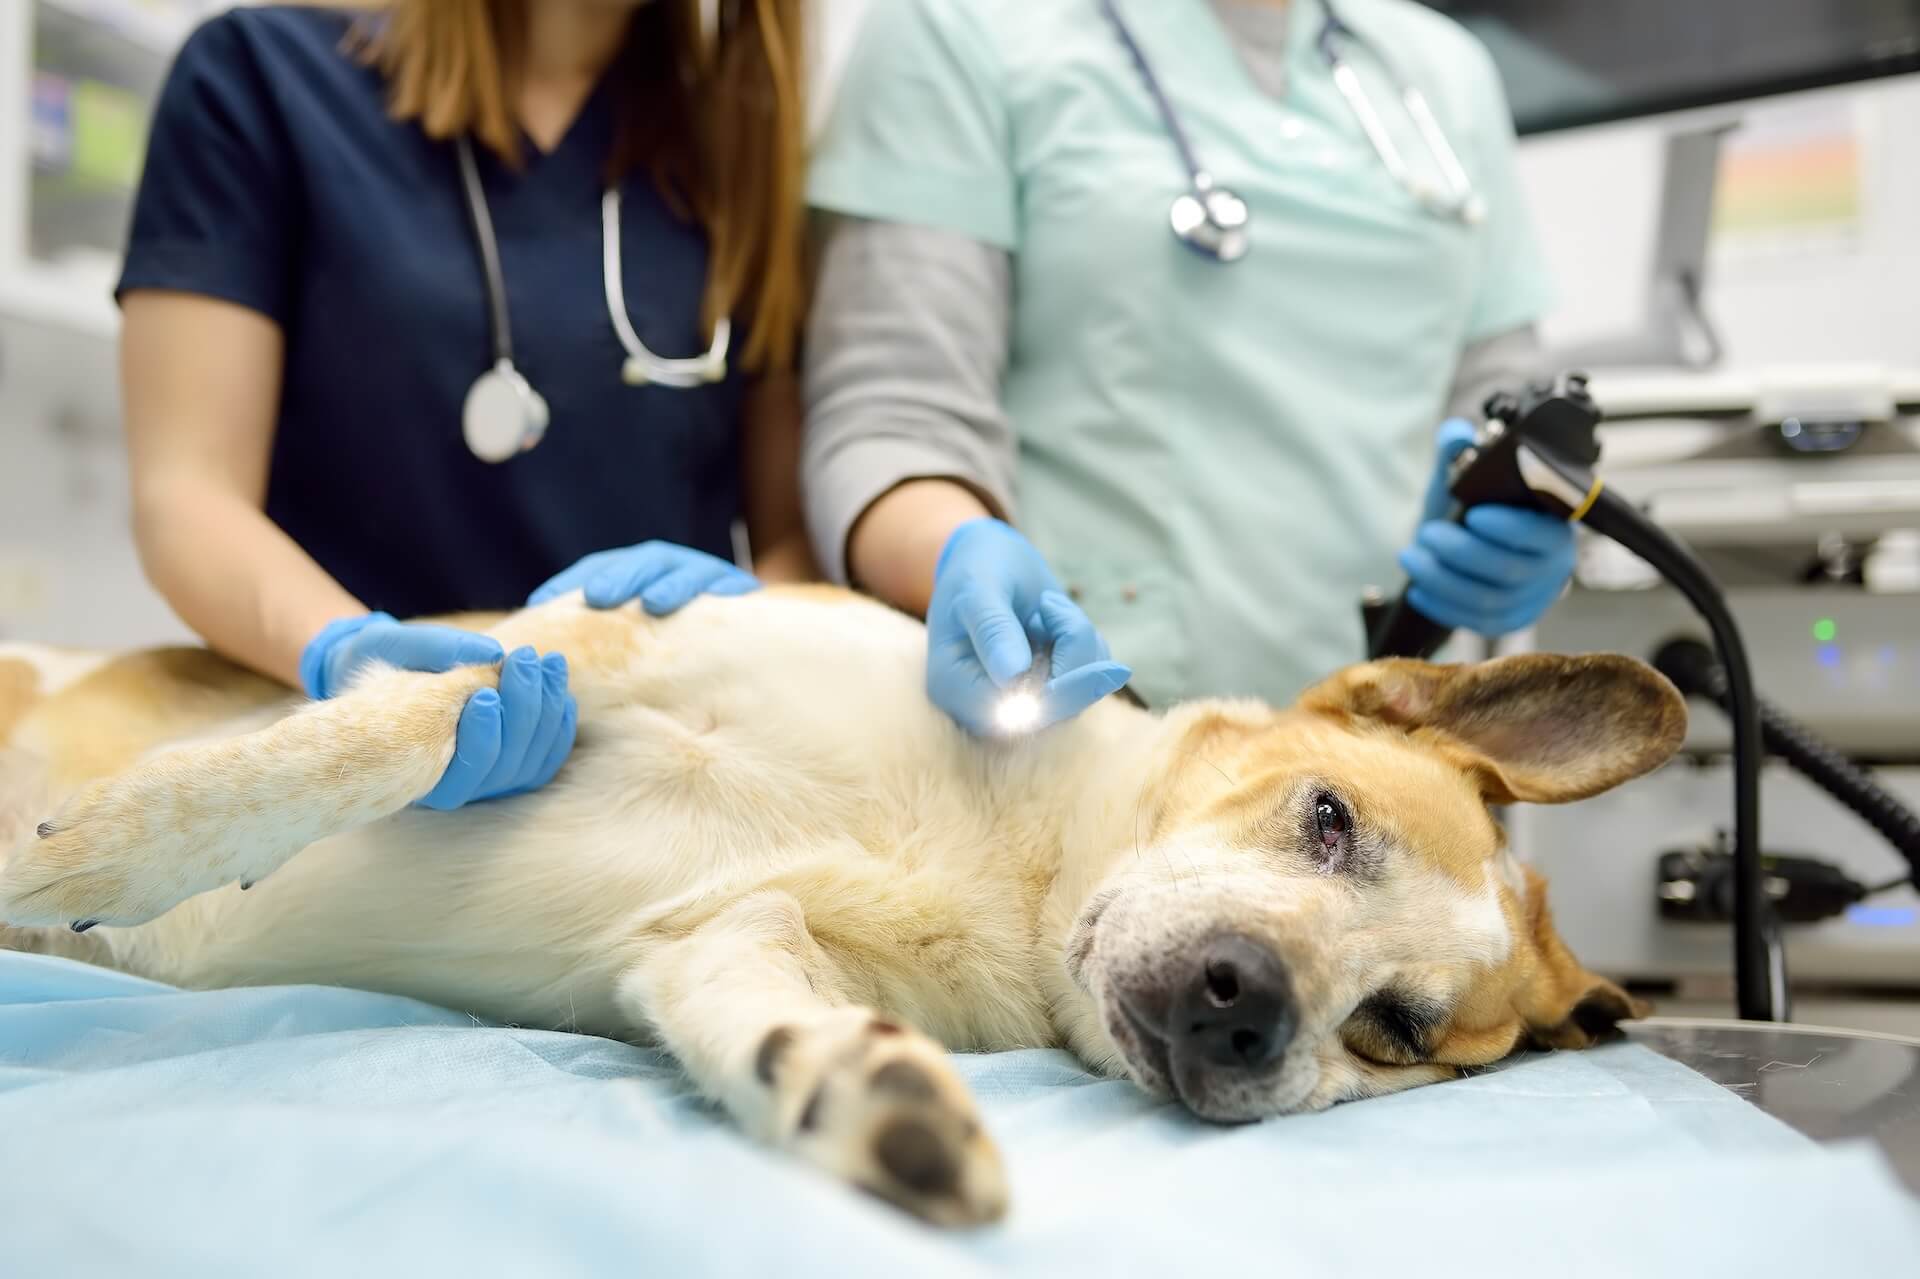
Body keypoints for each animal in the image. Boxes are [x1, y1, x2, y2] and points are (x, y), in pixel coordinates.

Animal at [0, 587, 1681, 1229]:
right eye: (1328, 819)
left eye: (1392, 1031)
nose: (1242, 998)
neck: (1011, 860)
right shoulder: (580, 651)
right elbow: (353, 746)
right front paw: (97, 853)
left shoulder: (713, 934)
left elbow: (768, 1001)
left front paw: (870, 1096)